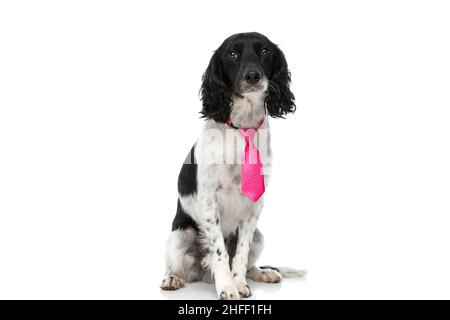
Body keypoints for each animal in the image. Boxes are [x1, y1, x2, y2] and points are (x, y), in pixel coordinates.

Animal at [160, 32, 304, 300]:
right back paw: (172, 279)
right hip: (179, 236)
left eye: (265, 51)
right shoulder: (209, 200)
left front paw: (238, 282)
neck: (242, 128)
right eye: (232, 54)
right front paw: (226, 285)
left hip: (259, 236)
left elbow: (240, 253)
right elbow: (219, 251)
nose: (252, 76)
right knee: (175, 266)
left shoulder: (254, 205)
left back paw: (263, 273)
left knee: (250, 263)